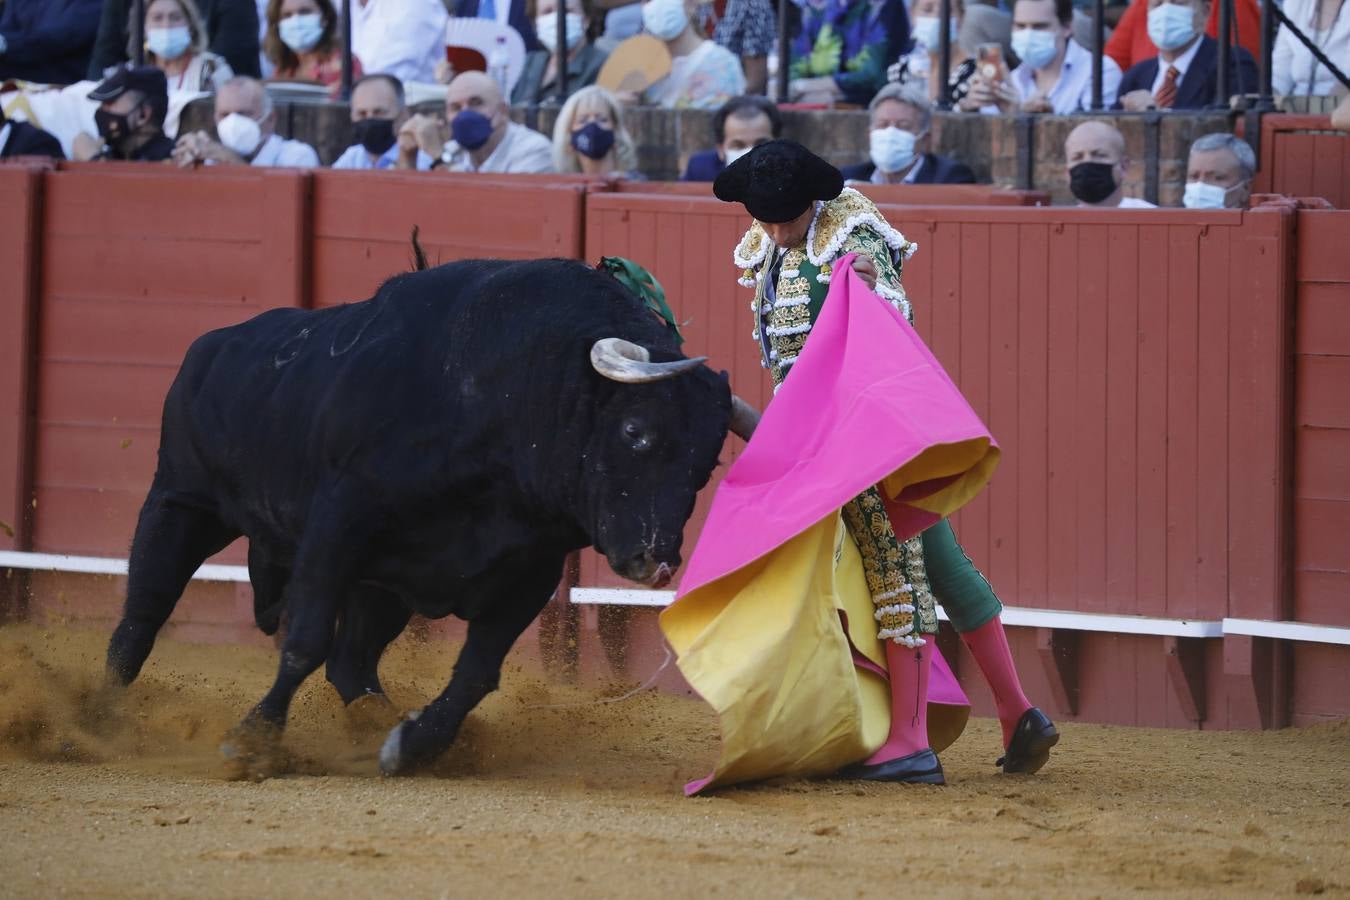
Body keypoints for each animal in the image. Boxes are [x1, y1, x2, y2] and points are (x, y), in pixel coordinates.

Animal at [103, 256, 756, 777]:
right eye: (635, 431)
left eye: (706, 465)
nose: (656, 560)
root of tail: (209, 348)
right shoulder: (337, 527)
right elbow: (304, 642)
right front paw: (251, 740)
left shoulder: (530, 572)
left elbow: (476, 673)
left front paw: (411, 745)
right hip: (180, 503)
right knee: (143, 615)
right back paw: (98, 716)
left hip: (382, 588)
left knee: (354, 663)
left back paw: (377, 724)